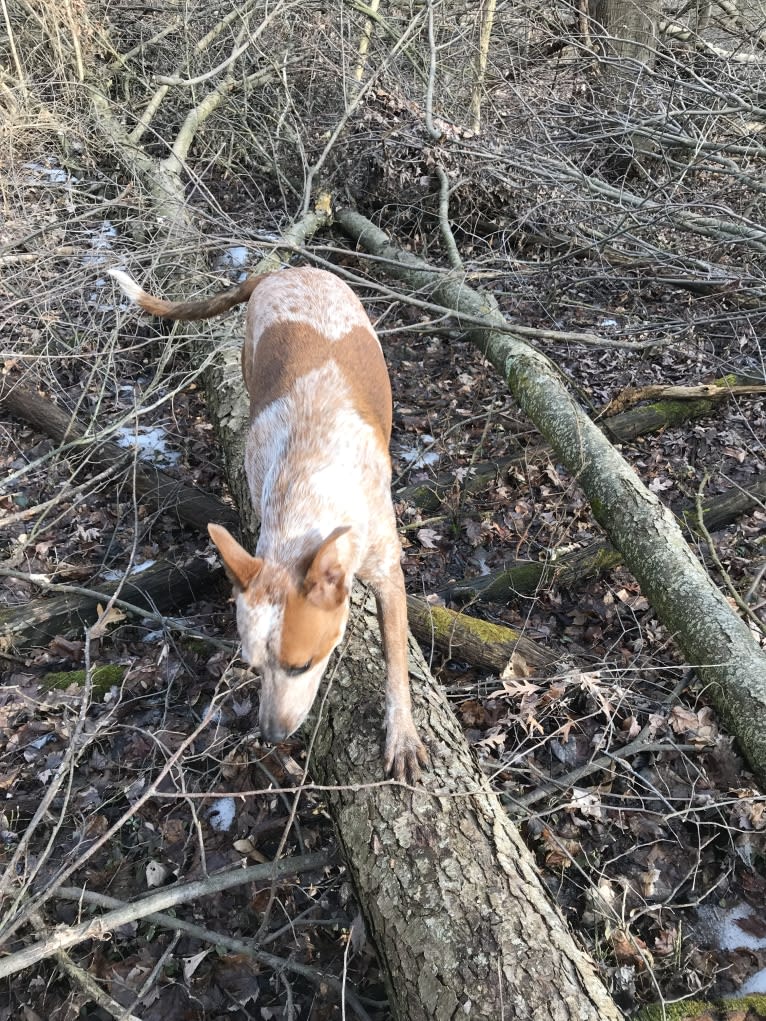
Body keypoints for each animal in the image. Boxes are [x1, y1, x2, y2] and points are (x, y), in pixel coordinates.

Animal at [110, 263, 428, 780]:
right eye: (254, 667)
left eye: (302, 666)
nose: (272, 735)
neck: (309, 482)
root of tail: (282, 271)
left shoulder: (388, 573)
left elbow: (397, 663)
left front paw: (401, 735)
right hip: (250, 354)